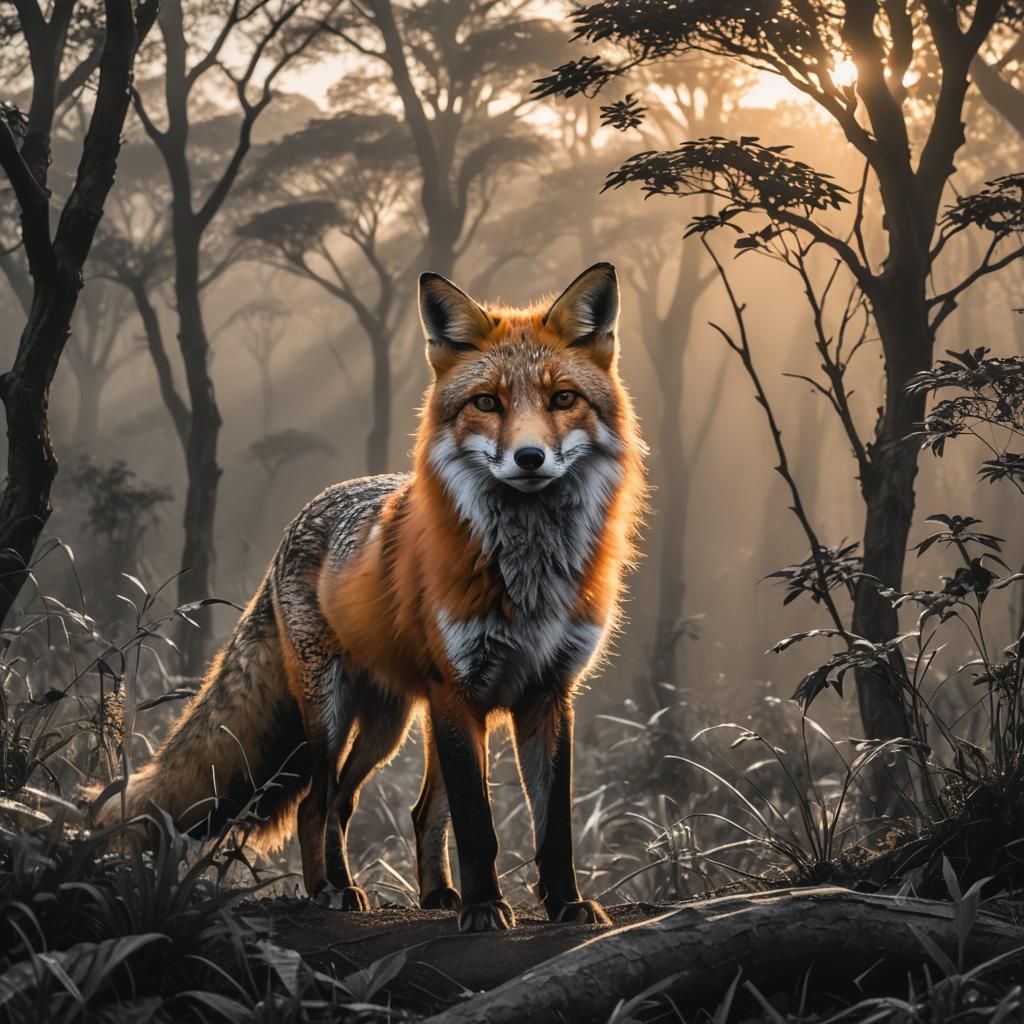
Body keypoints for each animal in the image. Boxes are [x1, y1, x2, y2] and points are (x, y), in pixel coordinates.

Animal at [90, 262, 646, 932]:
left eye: (563, 398)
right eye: (487, 402)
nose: (530, 457)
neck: (528, 573)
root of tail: (301, 516)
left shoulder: (546, 694)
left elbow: (553, 825)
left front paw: (564, 903)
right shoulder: (460, 691)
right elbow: (479, 826)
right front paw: (487, 907)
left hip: (397, 722)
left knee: (386, 807)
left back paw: (431, 893)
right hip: (337, 713)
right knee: (319, 802)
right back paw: (332, 891)